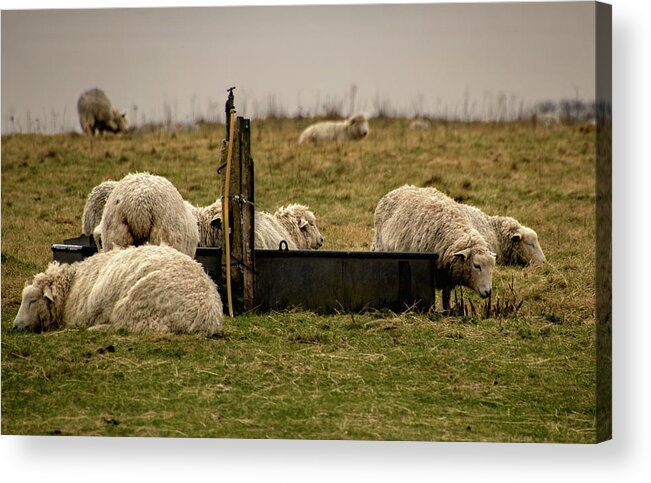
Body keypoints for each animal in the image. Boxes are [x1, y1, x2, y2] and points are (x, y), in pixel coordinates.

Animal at [12, 246, 225, 336]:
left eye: (32, 300)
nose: (15, 326)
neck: (72, 284)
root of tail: (207, 318)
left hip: (134, 311)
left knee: (121, 327)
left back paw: (96, 329)